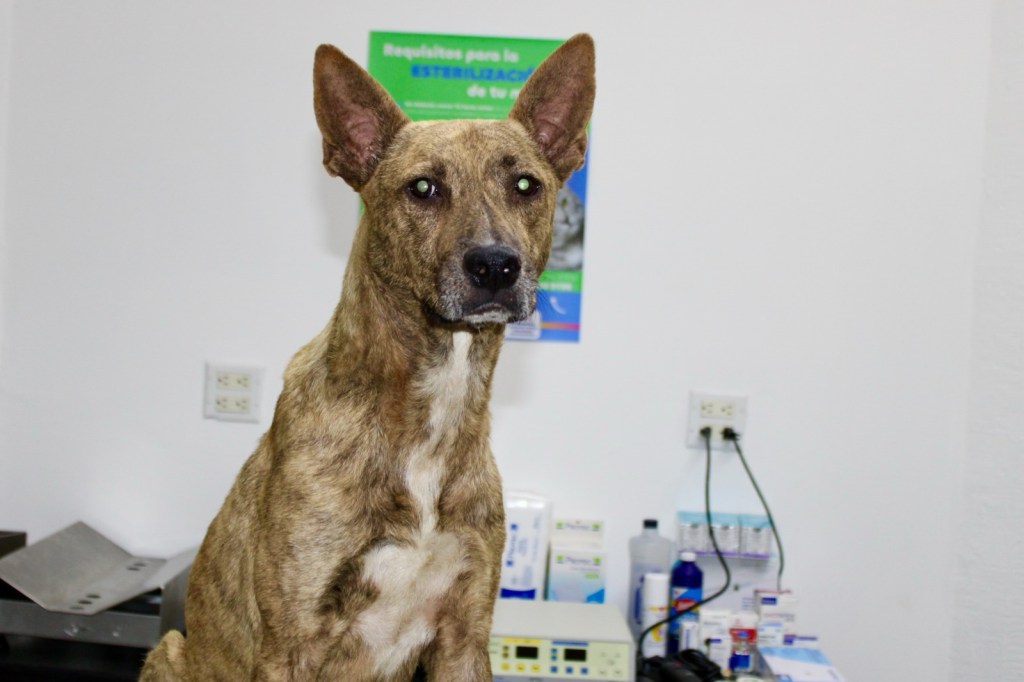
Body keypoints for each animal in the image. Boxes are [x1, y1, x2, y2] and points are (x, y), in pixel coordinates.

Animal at [140, 34, 594, 681]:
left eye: (526, 185)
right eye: (423, 188)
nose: (494, 267)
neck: (430, 415)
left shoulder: (463, 637)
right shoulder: (290, 647)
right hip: (170, 651)